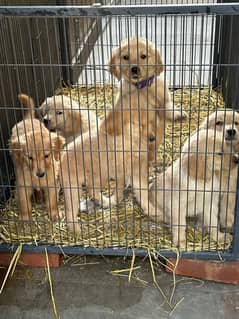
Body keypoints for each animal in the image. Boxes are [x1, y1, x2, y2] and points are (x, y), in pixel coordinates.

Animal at [105, 36, 188, 164]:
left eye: (143, 56)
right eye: (125, 57)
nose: (134, 69)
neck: (142, 87)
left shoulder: (163, 100)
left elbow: (167, 107)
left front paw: (178, 114)